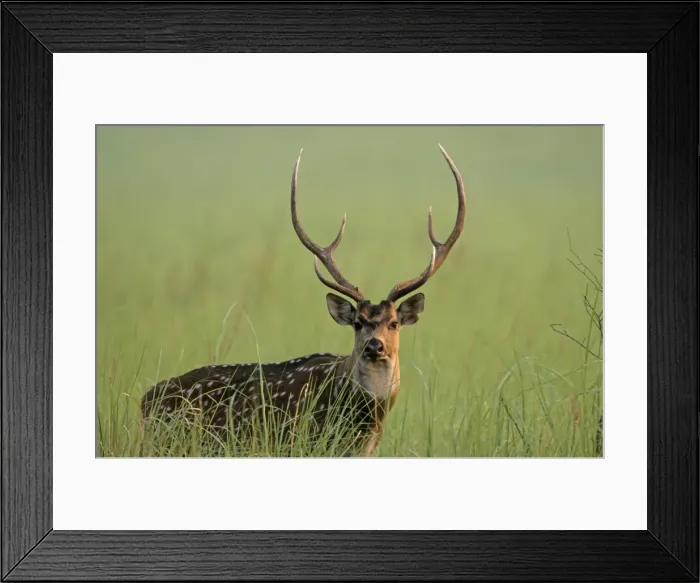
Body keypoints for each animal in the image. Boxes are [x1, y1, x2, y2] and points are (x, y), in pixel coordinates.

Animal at [140, 144, 466, 456]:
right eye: (358, 323)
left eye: (394, 323)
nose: (375, 346)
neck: (364, 420)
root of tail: (143, 403)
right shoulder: (302, 441)